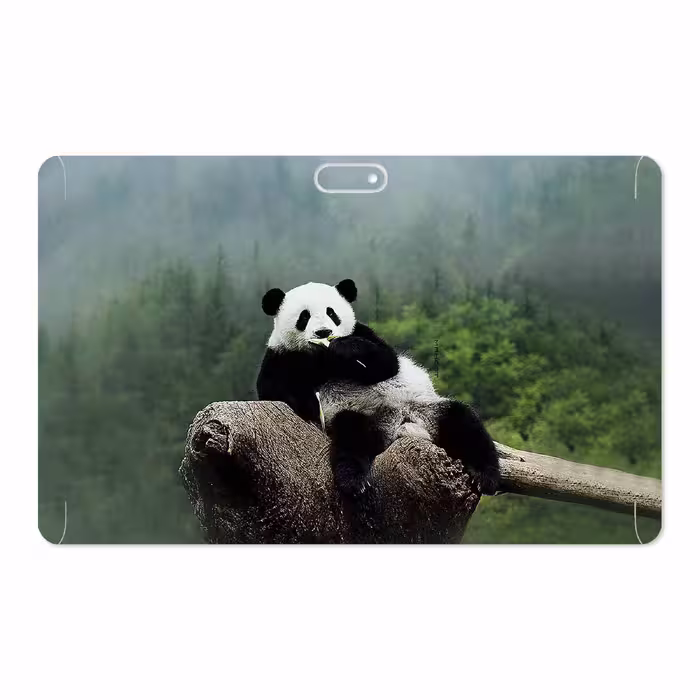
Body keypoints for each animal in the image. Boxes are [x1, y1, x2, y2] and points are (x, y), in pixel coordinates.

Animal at [256, 279, 500, 496]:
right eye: (304, 317)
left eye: (331, 313)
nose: (324, 332)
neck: (321, 357)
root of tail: (402, 425)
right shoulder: (282, 355)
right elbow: (272, 390)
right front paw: (307, 402)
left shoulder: (362, 332)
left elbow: (387, 362)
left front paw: (345, 347)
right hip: (364, 416)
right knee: (352, 435)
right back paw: (353, 481)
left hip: (427, 409)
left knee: (463, 422)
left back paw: (485, 476)